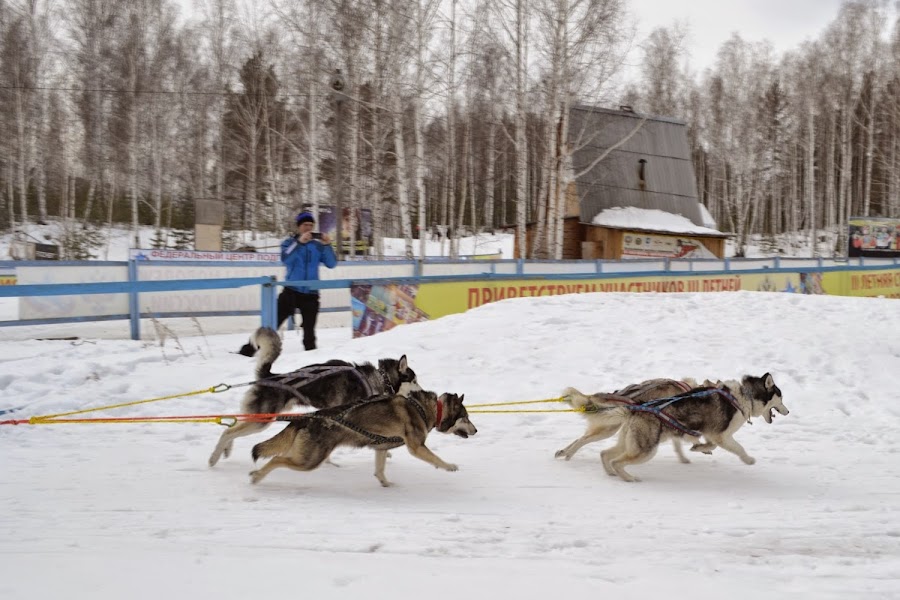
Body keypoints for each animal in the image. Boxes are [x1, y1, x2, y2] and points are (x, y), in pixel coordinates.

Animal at [209, 326, 420, 466]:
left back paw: (226, 450)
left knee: (233, 425)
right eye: (415, 381)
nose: (423, 391)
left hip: (259, 417)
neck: (379, 379)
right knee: (228, 431)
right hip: (262, 420)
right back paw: (214, 457)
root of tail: (269, 376)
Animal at [250, 390, 474, 488]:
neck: (428, 409)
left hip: (302, 454)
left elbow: (380, 470)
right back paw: (257, 476)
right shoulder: (416, 447)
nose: (476, 430)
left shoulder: (381, 448)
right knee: (276, 459)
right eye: (465, 417)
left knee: (277, 456)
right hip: (309, 461)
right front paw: (448, 466)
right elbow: (436, 458)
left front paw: (385, 483)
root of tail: (306, 418)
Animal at [564, 372, 788, 480]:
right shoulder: (721, 435)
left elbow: (704, 444)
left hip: (630, 441)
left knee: (605, 454)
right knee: (616, 460)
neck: (744, 396)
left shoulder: (709, 434)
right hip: (645, 448)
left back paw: (609, 471)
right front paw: (749, 460)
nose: (788, 411)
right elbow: (737, 448)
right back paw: (628, 478)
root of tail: (635, 407)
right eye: (781, 397)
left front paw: (698, 448)